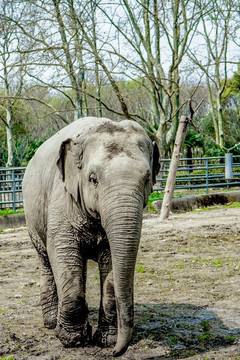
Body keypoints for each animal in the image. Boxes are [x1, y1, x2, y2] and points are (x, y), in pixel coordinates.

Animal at [22, 116, 159, 356]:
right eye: (93, 179)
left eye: (147, 179)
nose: (116, 352)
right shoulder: (62, 199)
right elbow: (63, 254)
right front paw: (72, 340)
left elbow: (111, 261)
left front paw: (106, 340)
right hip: (32, 216)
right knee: (46, 260)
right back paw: (50, 322)